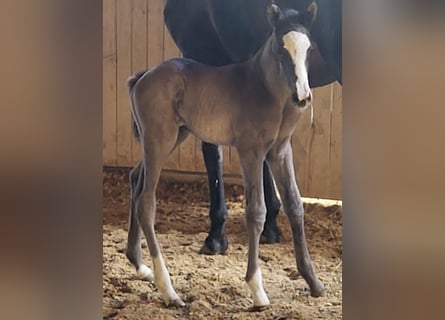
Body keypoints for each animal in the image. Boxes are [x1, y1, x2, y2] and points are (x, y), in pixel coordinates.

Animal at [125, 3, 322, 306]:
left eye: (309, 49)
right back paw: (169, 290)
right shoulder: (250, 151)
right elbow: (256, 211)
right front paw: (257, 290)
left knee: (136, 180)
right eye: (281, 49)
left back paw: (141, 266)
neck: (263, 87)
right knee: (146, 201)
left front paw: (314, 283)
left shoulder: (279, 151)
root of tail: (143, 77)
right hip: (159, 140)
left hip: (170, 138)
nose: (302, 97)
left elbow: (295, 205)